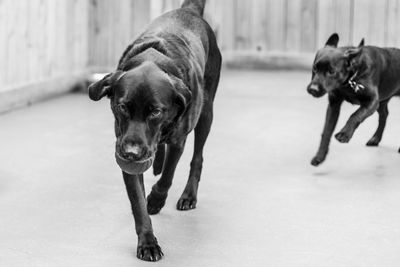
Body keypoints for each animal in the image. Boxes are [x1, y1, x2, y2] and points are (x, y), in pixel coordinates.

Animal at [87, 0, 222, 262]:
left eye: (156, 112)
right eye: (122, 107)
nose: (131, 153)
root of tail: (189, 9)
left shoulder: (178, 139)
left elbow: (168, 176)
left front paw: (157, 200)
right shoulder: (125, 153)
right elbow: (138, 204)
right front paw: (147, 242)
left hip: (206, 112)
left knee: (197, 157)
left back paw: (188, 195)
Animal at [308, 33, 398, 168]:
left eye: (331, 71)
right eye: (314, 68)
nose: (312, 89)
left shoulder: (372, 101)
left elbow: (355, 115)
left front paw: (345, 134)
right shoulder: (334, 105)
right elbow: (326, 131)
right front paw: (320, 156)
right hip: (383, 99)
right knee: (384, 115)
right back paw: (375, 139)